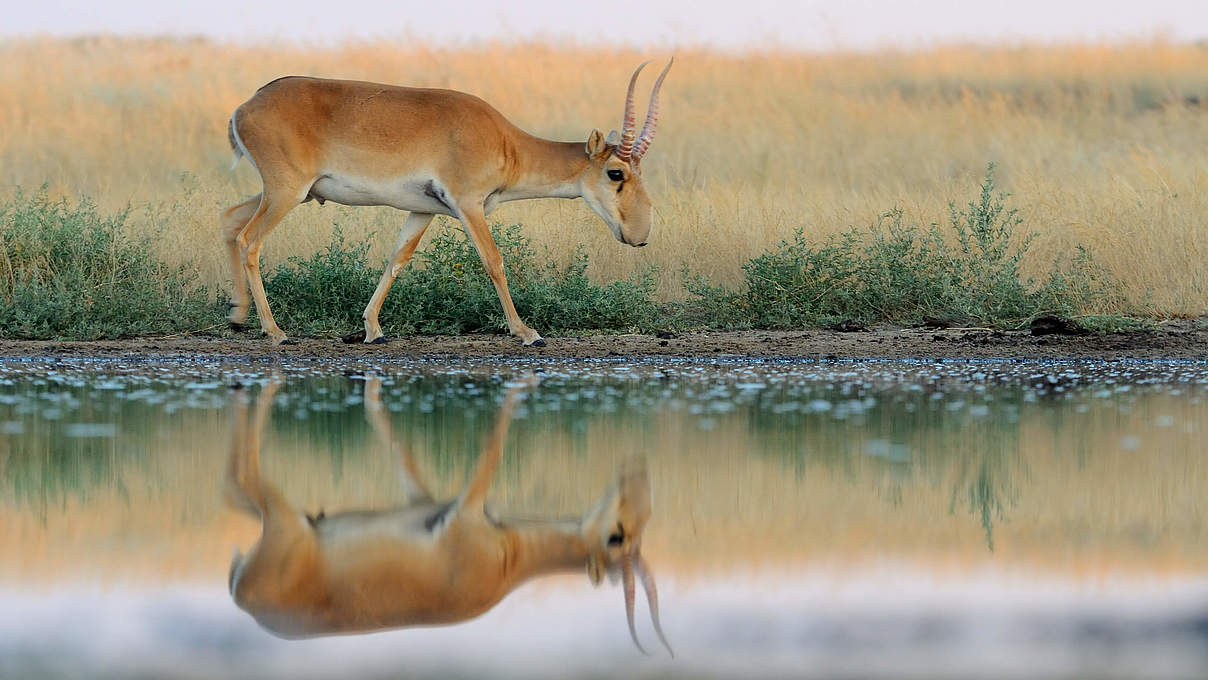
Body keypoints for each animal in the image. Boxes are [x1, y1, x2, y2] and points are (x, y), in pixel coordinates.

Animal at [222, 59, 676, 345]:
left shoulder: (423, 210)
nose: (639, 234)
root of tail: (244, 106)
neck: (506, 142)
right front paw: (527, 333)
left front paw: (373, 329)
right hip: (286, 192)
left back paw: (237, 316)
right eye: (616, 173)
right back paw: (275, 332)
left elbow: (397, 260)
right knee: (249, 240)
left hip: (287, 193)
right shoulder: (468, 205)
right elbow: (494, 261)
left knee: (229, 219)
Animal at [225, 376, 671, 652]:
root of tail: (242, 595)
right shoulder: (465, 508)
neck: (508, 558)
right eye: (616, 536)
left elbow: (402, 452)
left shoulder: (422, 499)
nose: (638, 471)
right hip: (283, 518)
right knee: (241, 476)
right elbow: (493, 448)